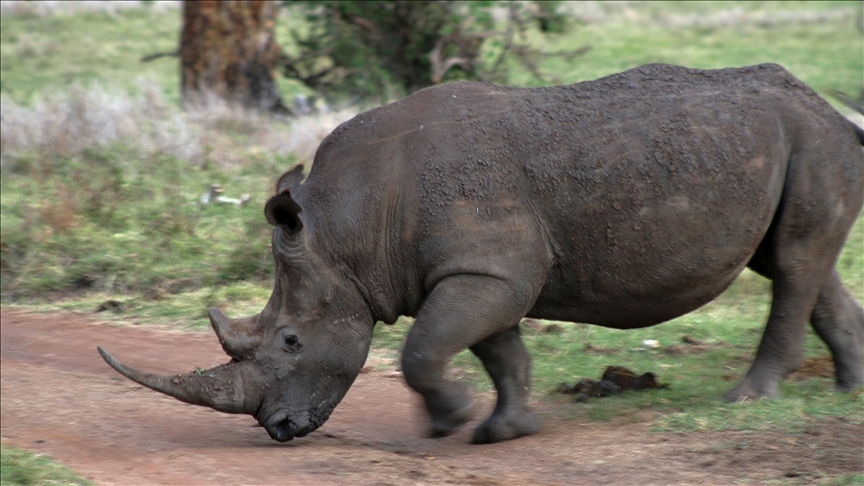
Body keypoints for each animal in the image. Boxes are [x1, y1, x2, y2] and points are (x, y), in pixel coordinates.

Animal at [96, 63, 864, 444]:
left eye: (289, 340)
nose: (278, 430)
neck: (346, 234)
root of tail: (827, 103)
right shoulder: (482, 271)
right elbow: (498, 350)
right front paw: (504, 429)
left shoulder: (483, 270)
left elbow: (424, 349)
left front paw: (453, 422)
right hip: (794, 141)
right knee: (798, 260)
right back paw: (849, 393)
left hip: (811, 139)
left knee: (794, 264)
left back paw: (750, 398)